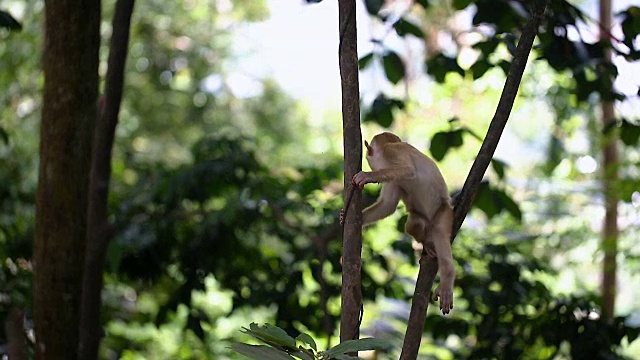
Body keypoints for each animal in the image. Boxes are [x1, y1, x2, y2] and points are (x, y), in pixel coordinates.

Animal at [340, 133, 456, 316]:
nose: (369, 164)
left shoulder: (392, 151)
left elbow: (408, 170)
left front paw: (367, 176)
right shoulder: (394, 180)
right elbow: (387, 205)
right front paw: (352, 216)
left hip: (443, 213)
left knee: (439, 232)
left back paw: (446, 281)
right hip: (421, 219)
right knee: (413, 224)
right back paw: (426, 243)